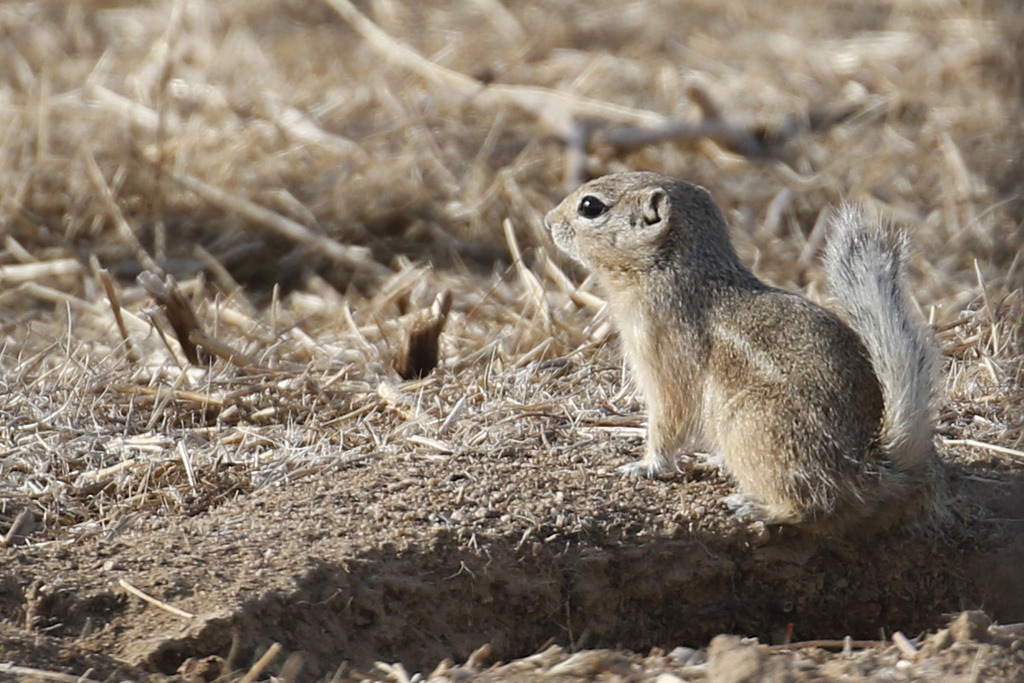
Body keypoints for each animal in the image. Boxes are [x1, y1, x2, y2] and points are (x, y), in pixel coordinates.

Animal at [544, 171, 939, 534]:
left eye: (591, 206)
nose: (548, 221)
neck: (669, 269)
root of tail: (868, 464)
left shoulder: (664, 368)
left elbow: (667, 424)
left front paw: (645, 466)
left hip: (746, 422)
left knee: (813, 504)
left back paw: (754, 507)